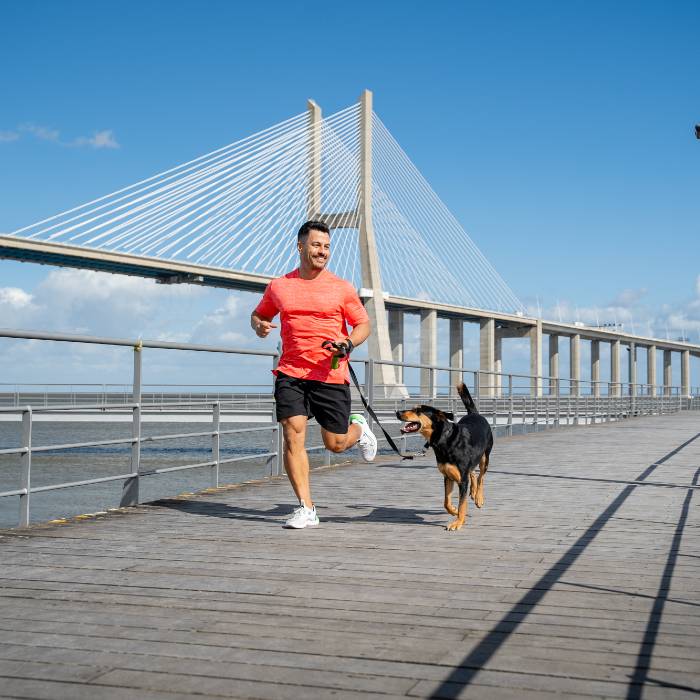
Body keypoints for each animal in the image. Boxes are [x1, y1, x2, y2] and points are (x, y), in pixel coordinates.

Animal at [396, 382, 494, 532]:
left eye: (418, 410)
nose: (397, 413)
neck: (444, 439)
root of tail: (475, 414)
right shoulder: (448, 476)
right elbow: (446, 502)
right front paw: (454, 511)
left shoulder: (461, 480)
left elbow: (462, 503)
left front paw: (458, 522)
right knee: (472, 472)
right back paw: (473, 492)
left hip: (485, 457)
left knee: (481, 477)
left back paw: (478, 497)